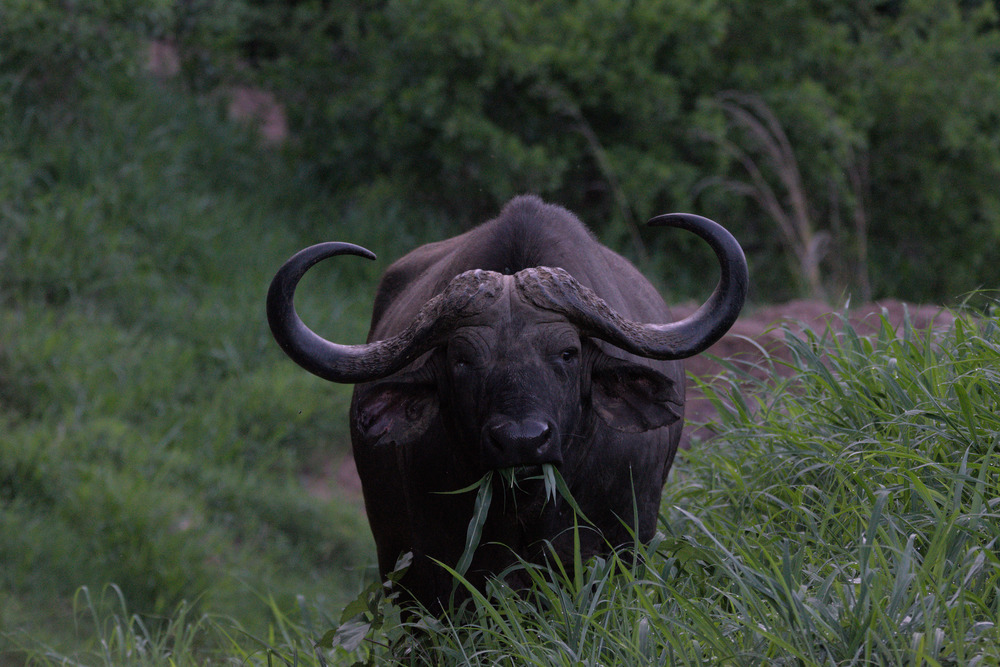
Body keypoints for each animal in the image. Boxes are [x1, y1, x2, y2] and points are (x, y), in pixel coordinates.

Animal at [270, 194, 748, 612]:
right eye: (462, 359)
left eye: (568, 353)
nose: (523, 440)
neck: (529, 500)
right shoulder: (436, 558)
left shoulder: (622, 540)